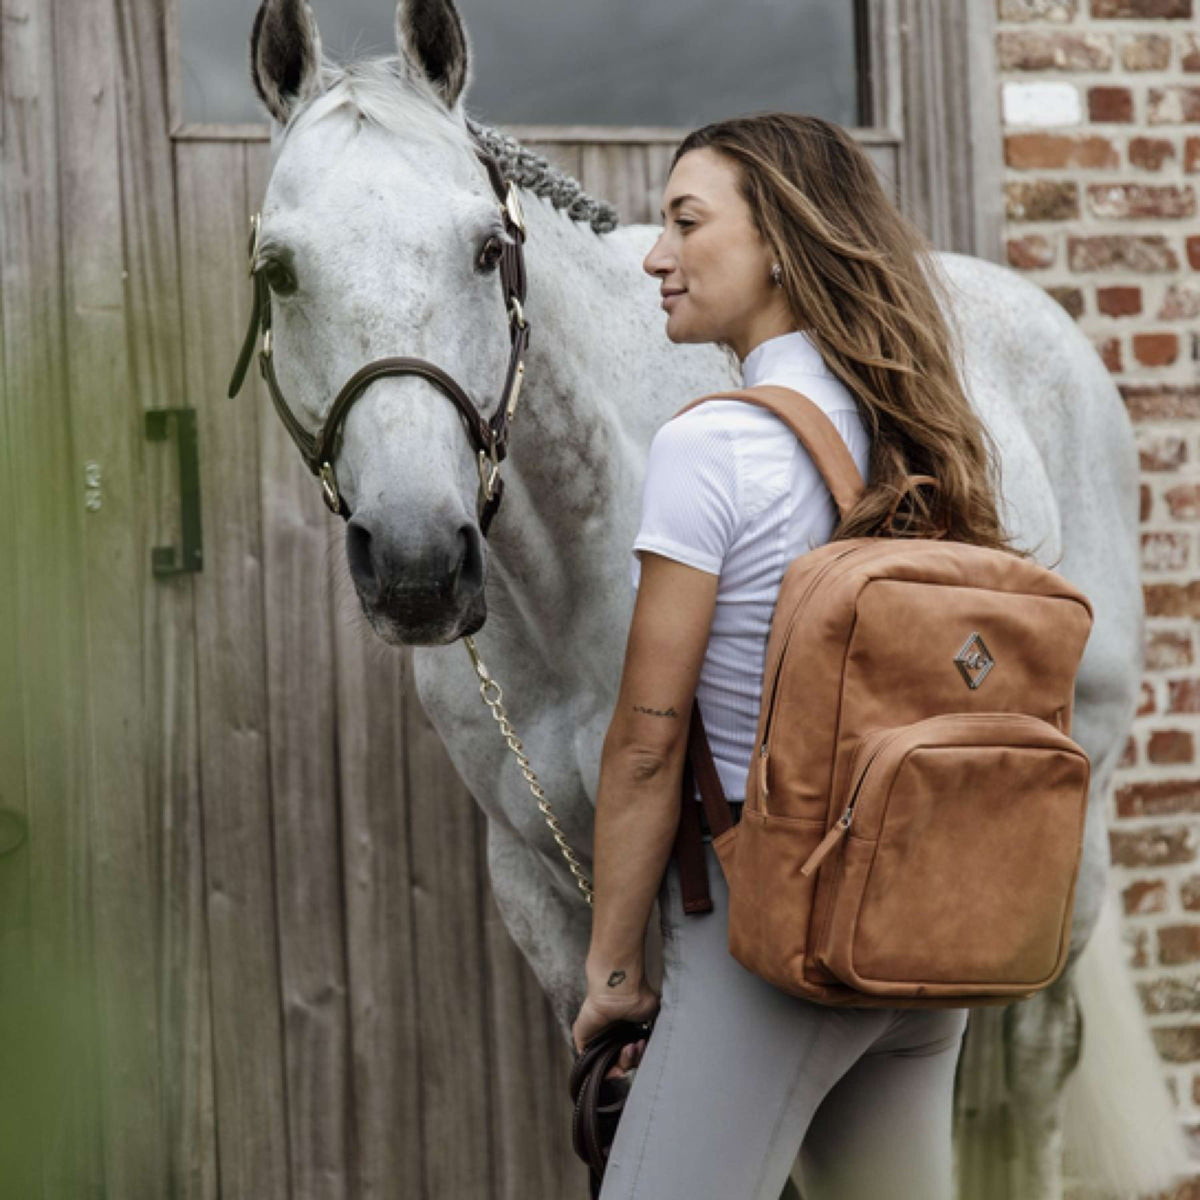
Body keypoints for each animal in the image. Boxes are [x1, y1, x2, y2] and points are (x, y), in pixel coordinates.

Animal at [243, 0, 1190, 1195]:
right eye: (278, 270)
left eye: (486, 248)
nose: (416, 562)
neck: (571, 575)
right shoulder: (541, 889)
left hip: (1077, 824)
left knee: (1036, 1055)